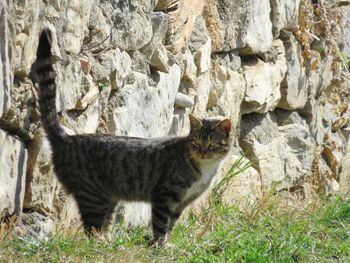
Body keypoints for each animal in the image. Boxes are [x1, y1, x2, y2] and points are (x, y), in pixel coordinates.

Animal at [30, 28, 232, 243]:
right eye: (196, 142)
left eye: (212, 144)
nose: (202, 152)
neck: (204, 168)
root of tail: (67, 138)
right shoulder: (165, 196)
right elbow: (161, 224)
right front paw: (159, 244)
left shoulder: (183, 202)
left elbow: (171, 225)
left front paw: (166, 243)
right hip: (92, 197)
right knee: (91, 229)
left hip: (107, 199)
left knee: (102, 225)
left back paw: (106, 243)